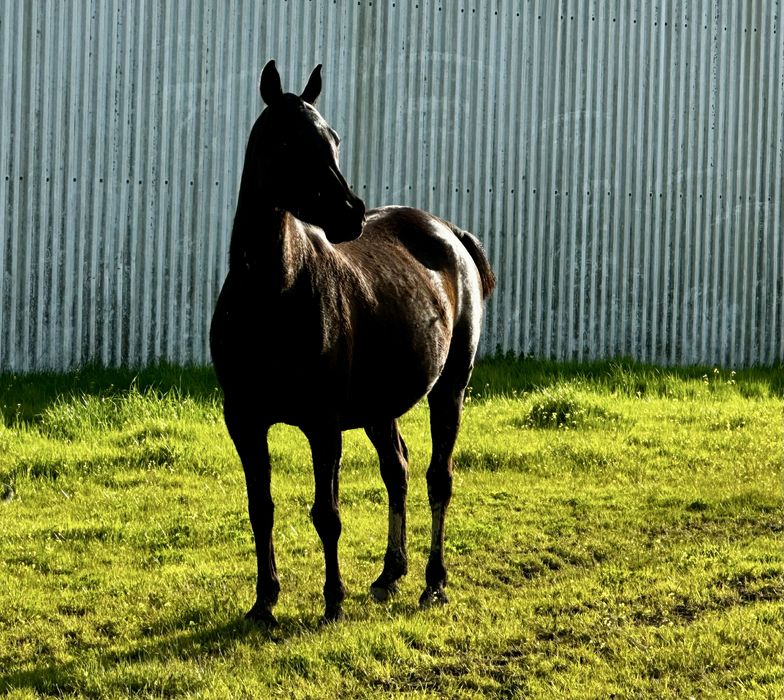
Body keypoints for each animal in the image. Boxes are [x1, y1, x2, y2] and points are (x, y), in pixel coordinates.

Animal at [210, 60, 495, 625]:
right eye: (285, 141)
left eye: (333, 138)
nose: (350, 213)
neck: (273, 291)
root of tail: (449, 233)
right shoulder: (244, 419)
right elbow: (261, 507)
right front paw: (264, 600)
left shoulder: (323, 424)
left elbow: (327, 512)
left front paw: (333, 600)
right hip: (378, 407)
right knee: (397, 470)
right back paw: (390, 574)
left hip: (449, 391)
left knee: (438, 478)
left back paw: (433, 583)